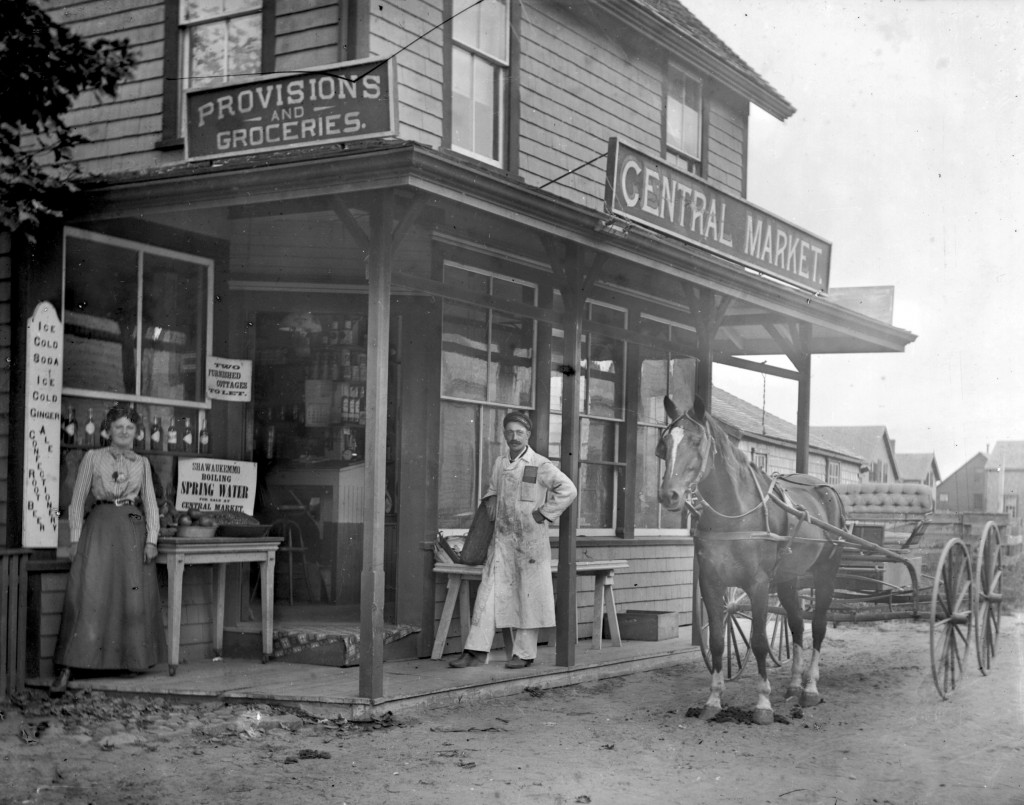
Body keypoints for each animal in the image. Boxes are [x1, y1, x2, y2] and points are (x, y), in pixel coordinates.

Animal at [659, 393, 843, 721]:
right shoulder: (711, 583)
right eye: (665, 441)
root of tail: (826, 490)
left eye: (696, 441)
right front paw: (713, 700)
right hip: (788, 580)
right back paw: (794, 686)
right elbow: (717, 641)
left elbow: (758, 641)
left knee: (819, 625)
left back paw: (810, 688)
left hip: (825, 575)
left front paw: (763, 704)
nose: (669, 495)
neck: (735, 514)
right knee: (797, 624)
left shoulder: (758, 585)